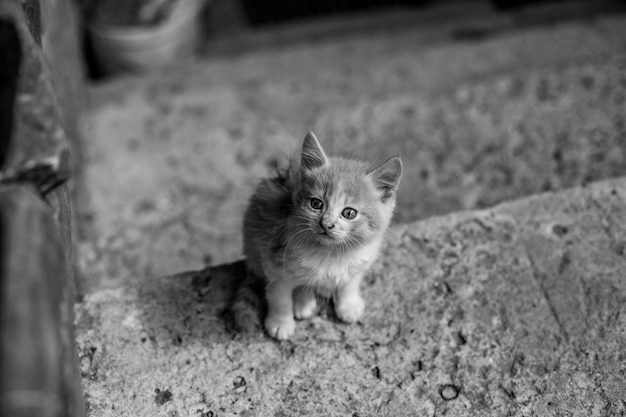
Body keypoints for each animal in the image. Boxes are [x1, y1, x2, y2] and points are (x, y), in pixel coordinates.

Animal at [229, 132, 400, 340]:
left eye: (349, 213)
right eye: (316, 204)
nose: (326, 224)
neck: (333, 254)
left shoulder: (362, 260)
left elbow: (350, 282)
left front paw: (348, 305)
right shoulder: (273, 259)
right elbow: (279, 297)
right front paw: (280, 322)